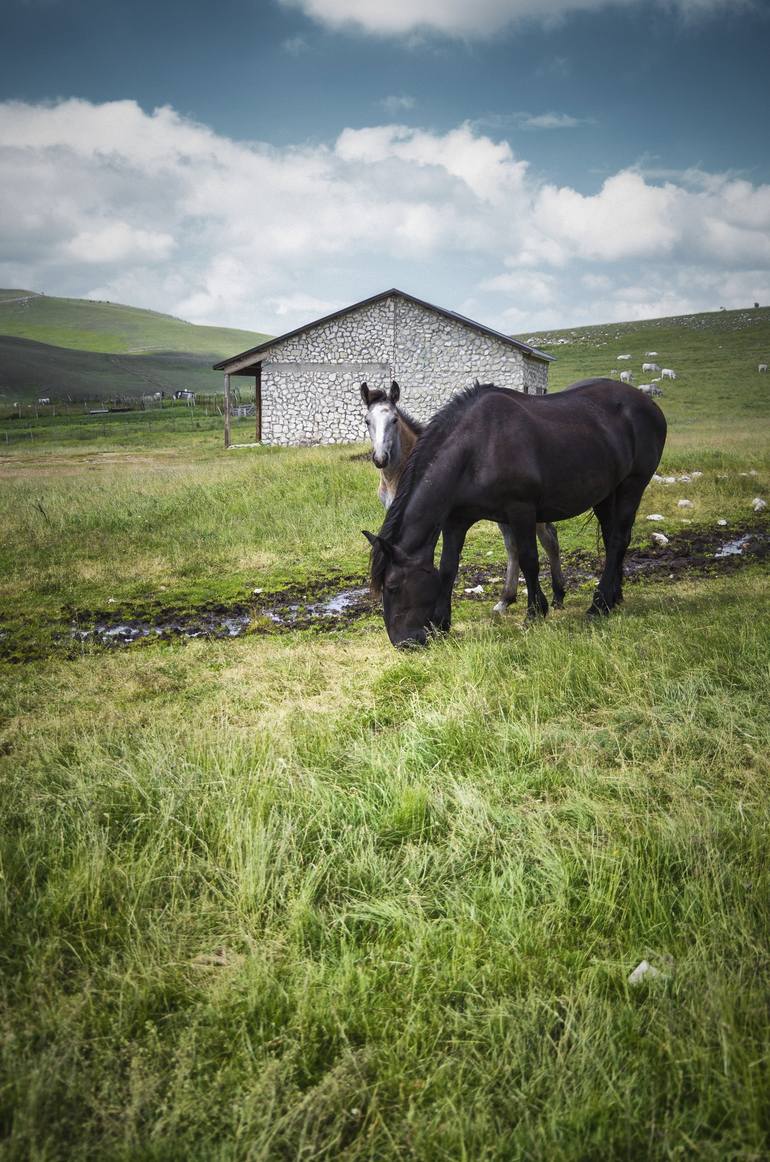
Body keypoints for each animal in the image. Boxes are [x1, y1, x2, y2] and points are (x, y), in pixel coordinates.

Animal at [364, 381, 664, 655]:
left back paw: (598, 604)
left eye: (392, 586)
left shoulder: (521, 510)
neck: (476, 448)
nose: (403, 643)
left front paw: (534, 612)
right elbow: (449, 567)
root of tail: (649, 404)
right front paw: (441, 623)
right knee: (613, 538)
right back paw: (614, 596)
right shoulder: (456, 521)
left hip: (632, 485)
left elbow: (529, 559)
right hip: (606, 492)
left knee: (618, 539)